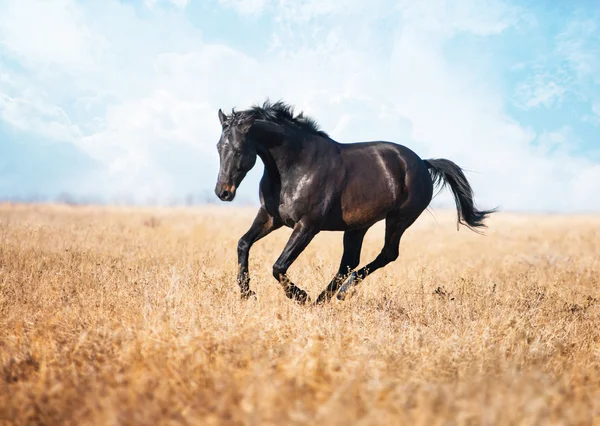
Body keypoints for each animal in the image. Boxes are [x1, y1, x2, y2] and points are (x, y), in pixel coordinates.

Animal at [213, 100, 494, 304]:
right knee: (349, 262)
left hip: (398, 219)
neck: (294, 166)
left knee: (385, 255)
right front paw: (247, 293)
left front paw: (300, 297)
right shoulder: (271, 217)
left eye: (238, 150)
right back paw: (325, 298)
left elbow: (278, 266)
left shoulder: (307, 226)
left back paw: (338, 293)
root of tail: (423, 163)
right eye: (218, 147)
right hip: (358, 227)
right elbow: (243, 243)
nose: (222, 192)